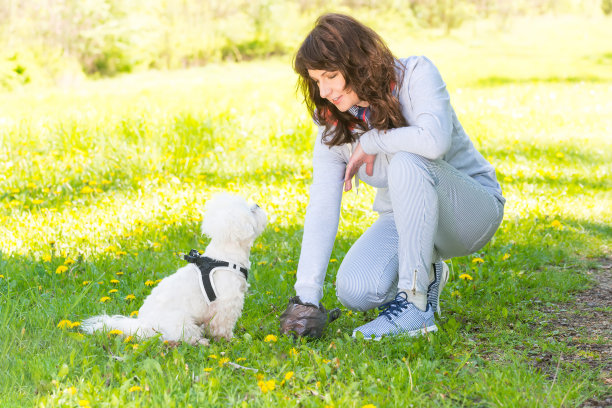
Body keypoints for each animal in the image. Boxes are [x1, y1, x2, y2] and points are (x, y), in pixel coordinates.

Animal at [81, 194, 266, 344]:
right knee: (182, 336)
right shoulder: (227, 303)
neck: (226, 256)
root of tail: (143, 325)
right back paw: (200, 341)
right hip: (181, 321)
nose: (257, 204)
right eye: (250, 210)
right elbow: (223, 325)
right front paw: (228, 339)